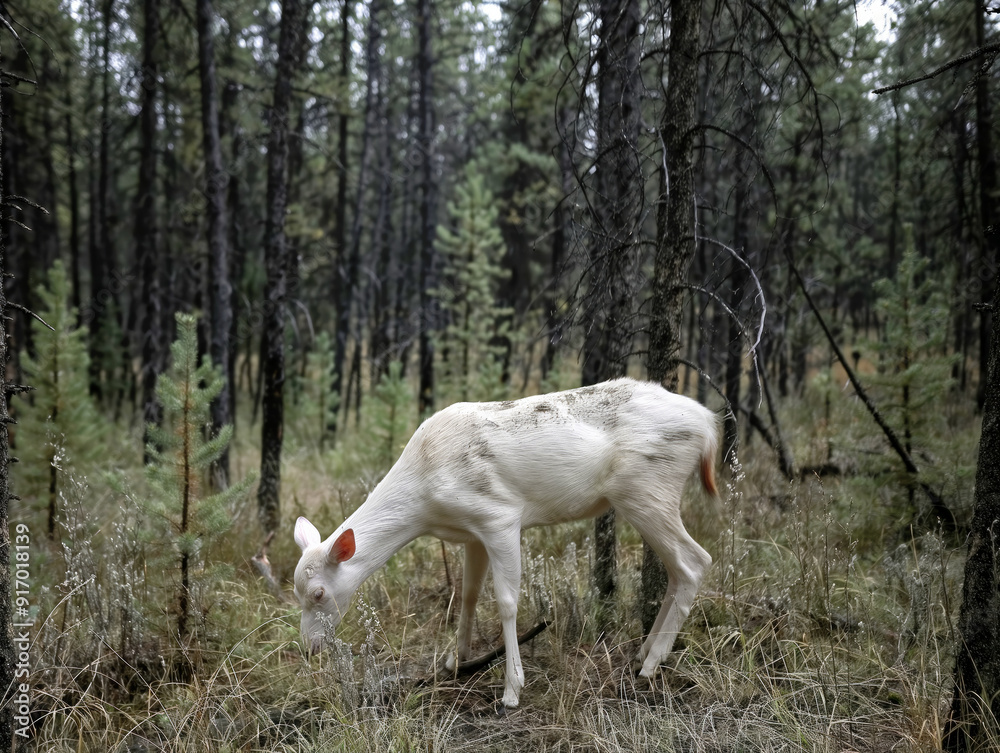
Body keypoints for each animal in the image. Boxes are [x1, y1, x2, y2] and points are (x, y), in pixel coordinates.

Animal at [292, 378, 720, 708]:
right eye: (295, 592)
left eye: (318, 593)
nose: (309, 647)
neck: (426, 502)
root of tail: (709, 424)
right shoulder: (472, 533)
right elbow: (467, 594)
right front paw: (456, 660)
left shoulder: (499, 516)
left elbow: (507, 601)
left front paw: (512, 689)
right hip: (646, 493)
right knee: (679, 570)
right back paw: (645, 652)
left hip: (646, 488)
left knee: (695, 561)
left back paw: (651, 665)